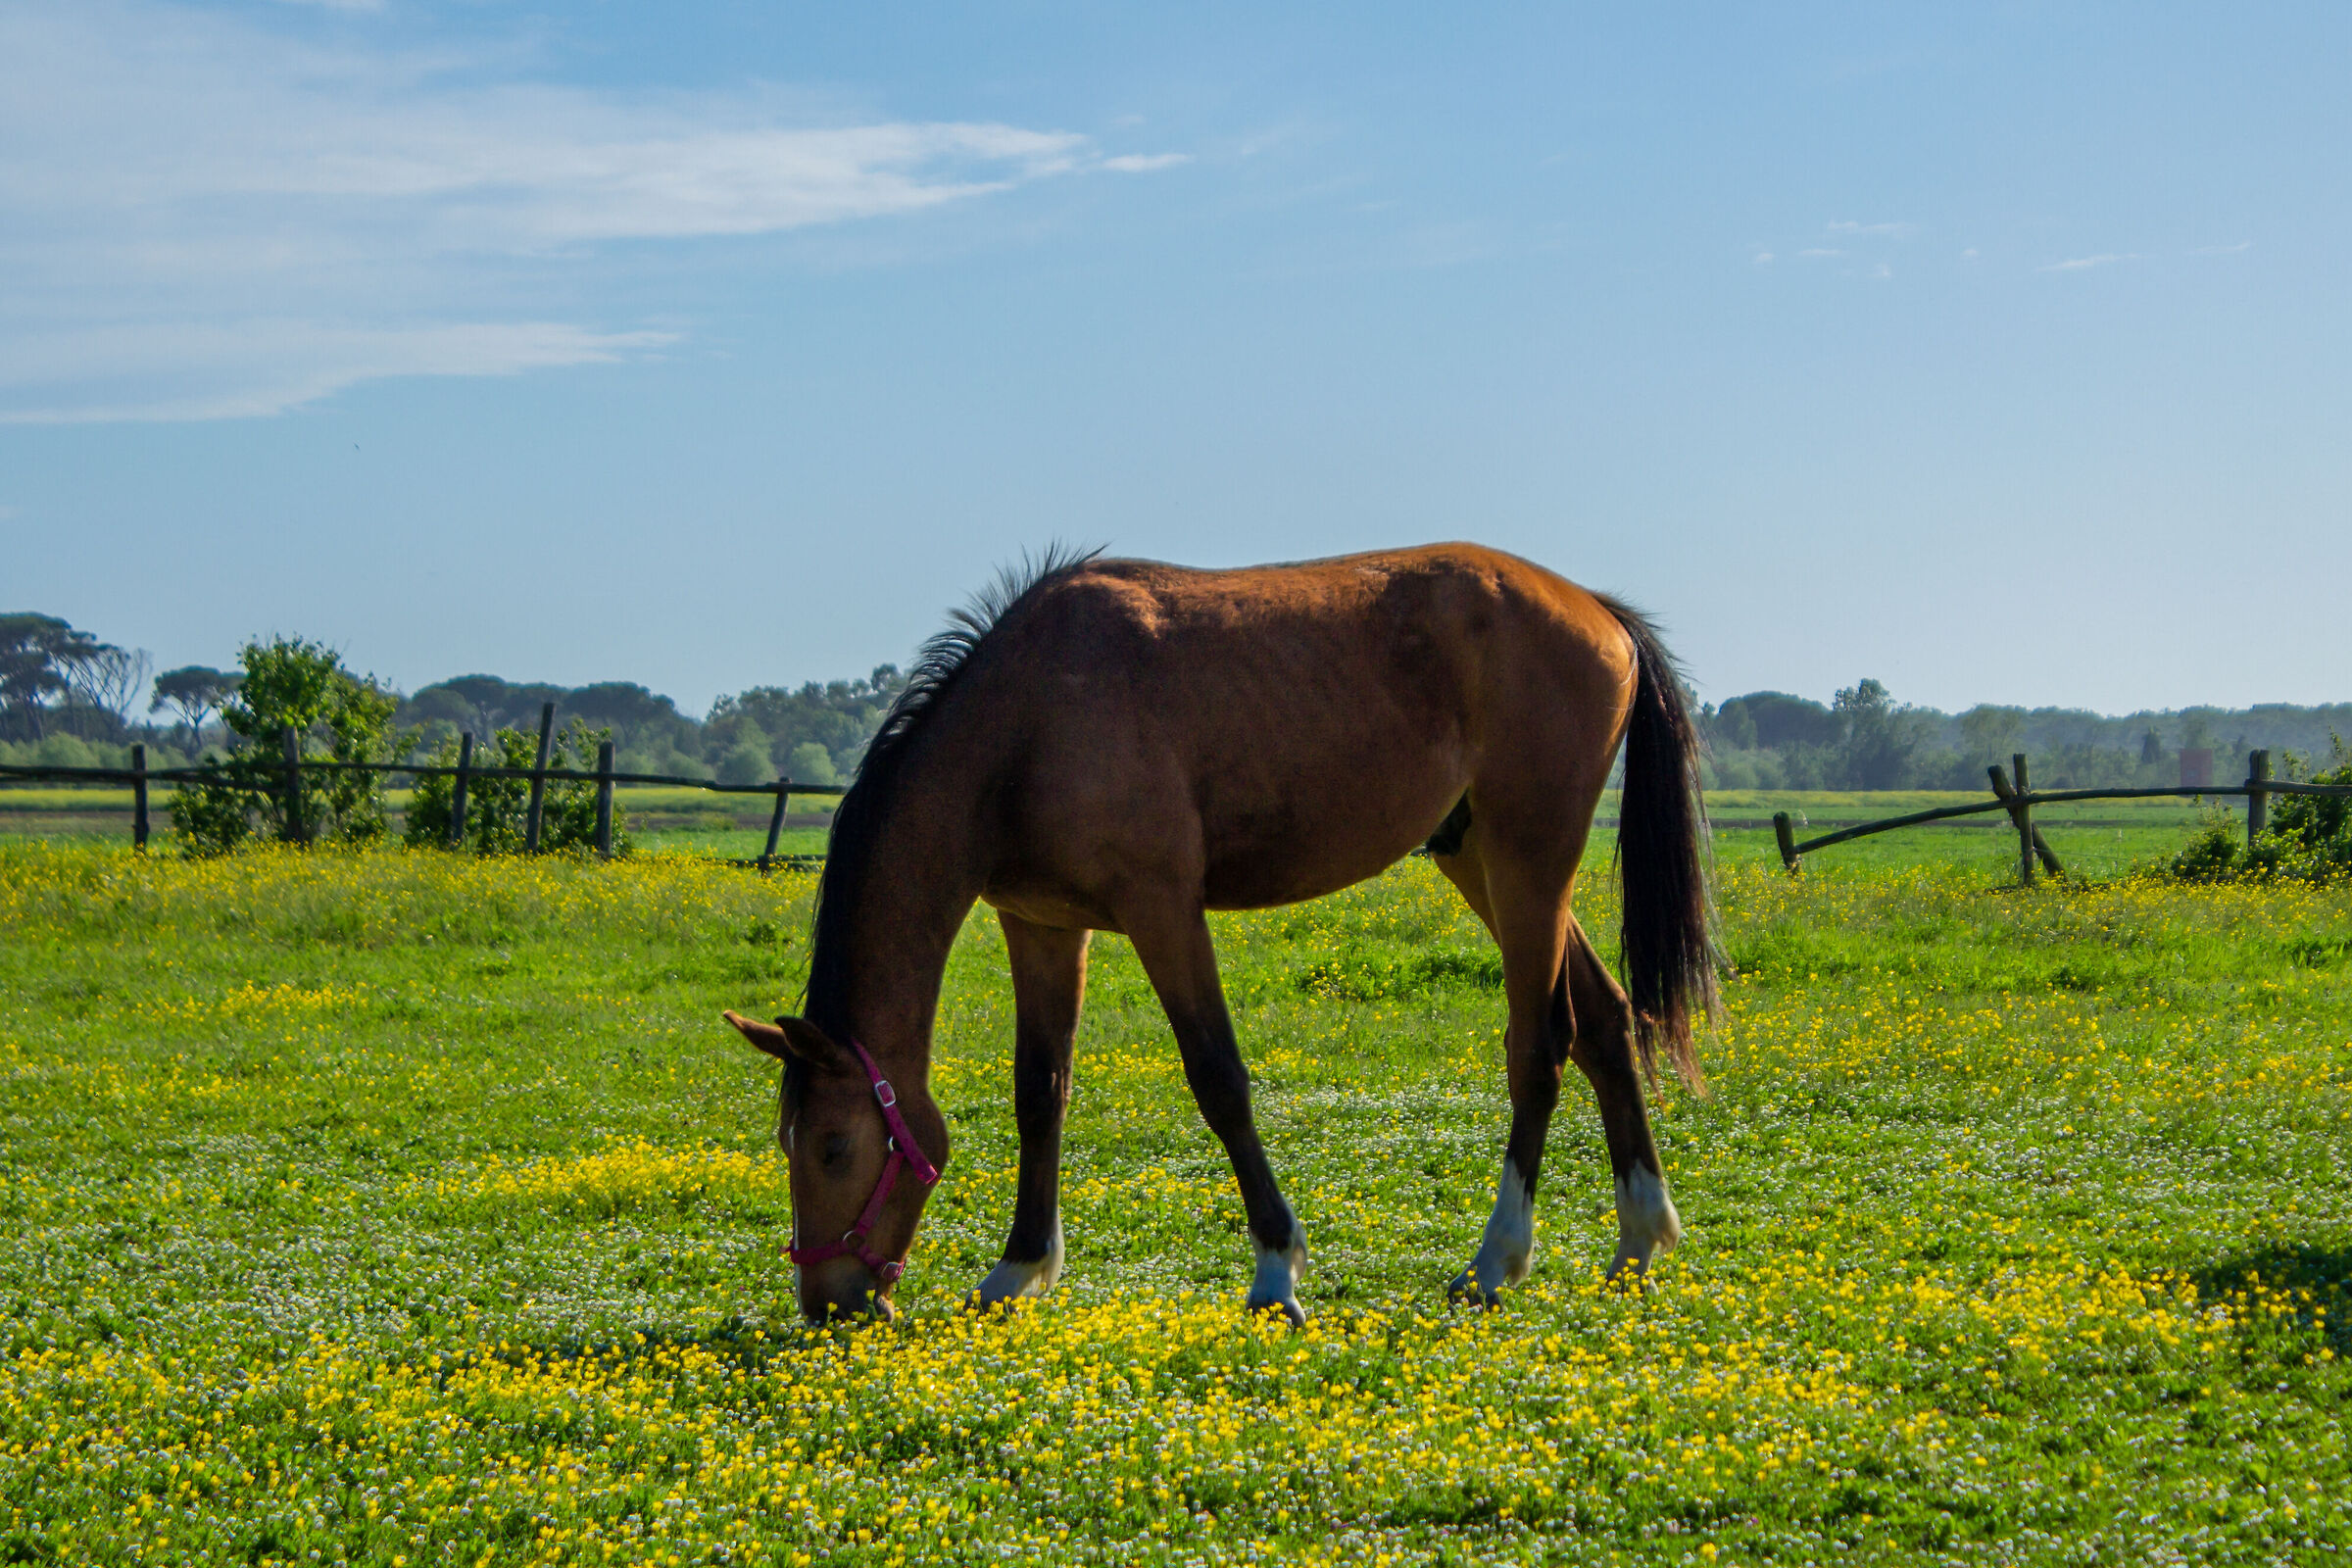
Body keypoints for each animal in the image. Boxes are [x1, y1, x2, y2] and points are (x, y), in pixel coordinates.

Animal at [723, 542, 1716, 1323]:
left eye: (836, 1148)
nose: (831, 1306)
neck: (1026, 723)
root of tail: (1598, 611)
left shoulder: (1162, 909)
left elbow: (1219, 1080)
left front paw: (1277, 1271)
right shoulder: (1042, 925)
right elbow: (1040, 1091)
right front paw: (1018, 1269)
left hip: (1526, 858)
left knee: (1539, 1043)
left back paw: (1495, 1260)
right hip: (1478, 857)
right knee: (1604, 1019)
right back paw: (1639, 1239)